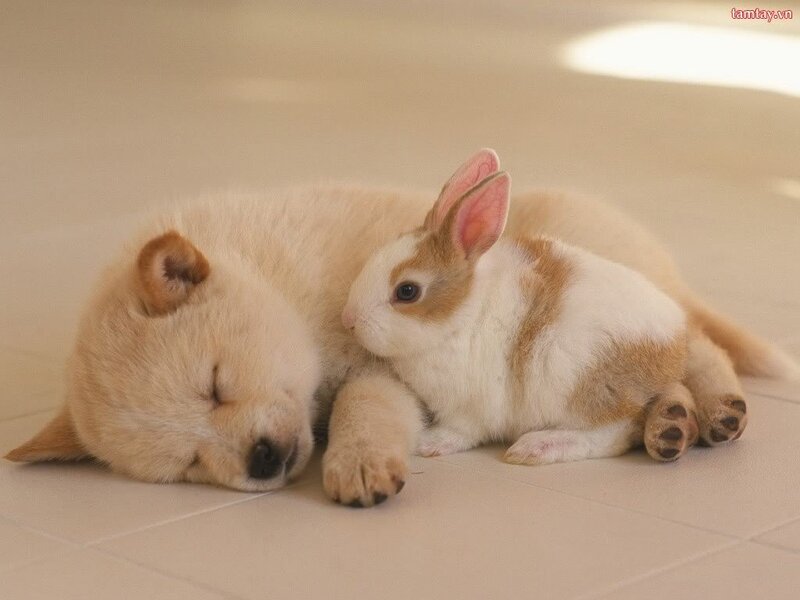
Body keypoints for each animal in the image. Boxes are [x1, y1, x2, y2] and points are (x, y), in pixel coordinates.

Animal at [343, 153, 704, 465]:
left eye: (407, 291)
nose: (349, 320)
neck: (462, 317)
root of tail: (675, 347)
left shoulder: (470, 409)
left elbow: (461, 431)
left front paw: (428, 444)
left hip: (573, 381)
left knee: (613, 433)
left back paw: (536, 447)